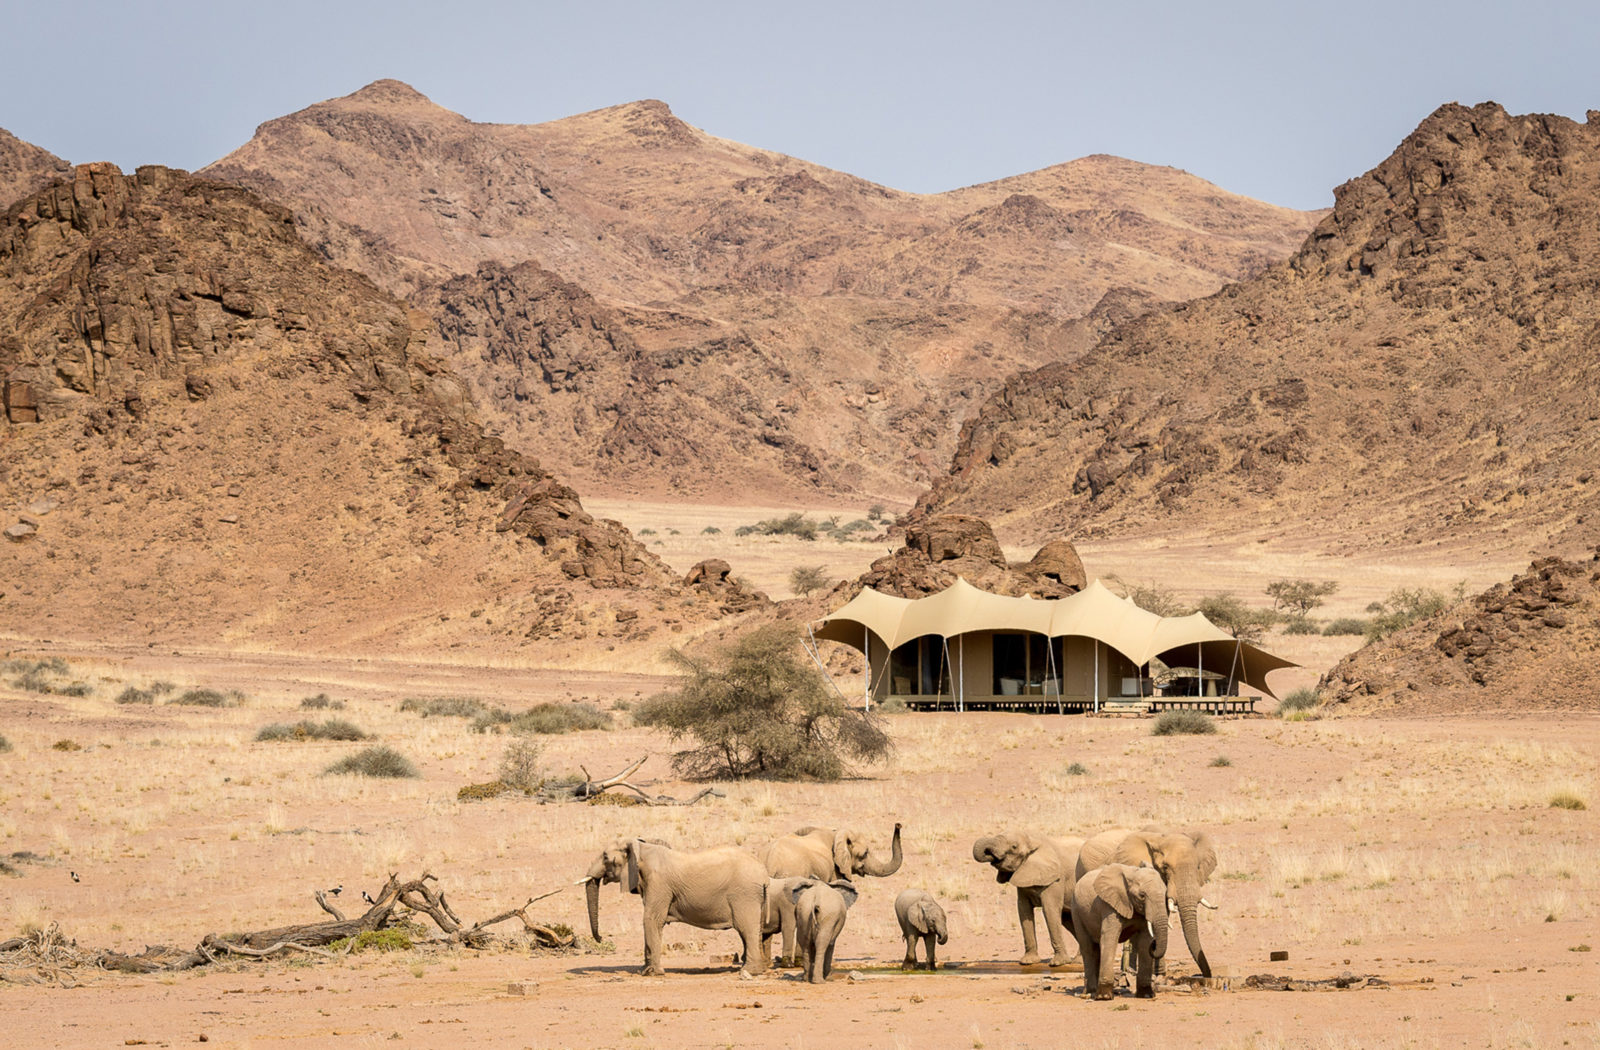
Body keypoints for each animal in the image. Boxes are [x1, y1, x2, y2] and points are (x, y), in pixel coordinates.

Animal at [582, 838, 768, 973]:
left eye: (605, 857)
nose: (601, 939)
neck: (641, 848)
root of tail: (762, 870)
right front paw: (644, 970)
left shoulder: (658, 884)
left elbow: (651, 919)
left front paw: (652, 973)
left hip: (745, 894)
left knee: (746, 929)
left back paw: (749, 971)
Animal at [758, 825, 902, 966]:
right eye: (865, 853)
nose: (898, 825)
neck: (837, 833)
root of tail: (770, 860)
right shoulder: (835, 869)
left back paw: (768, 963)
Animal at [960, 832, 1088, 966]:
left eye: (1014, 847)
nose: (989, 853)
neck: (1032, 840)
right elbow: (1023, 910)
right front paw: (1028, 962)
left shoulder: (1056, 878)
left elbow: (1049, 910)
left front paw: (1058, 963)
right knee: (1067, 918)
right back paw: (1079, 961)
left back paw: (1079, 962)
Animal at [1068, 864, 1171, 998]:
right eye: (1142, 896)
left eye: (1165, 895)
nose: (1154, 944)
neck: (1132, 874)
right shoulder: (1109, 905)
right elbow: (1109, 938)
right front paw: (1104, 997)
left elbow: (1144, 942)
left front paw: (1146, 995)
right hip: (1076, 911)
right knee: (1088, 948)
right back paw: (1091, 992)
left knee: (1096, 949)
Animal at [1081, 825, 1216, 979]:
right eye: (1165, 867)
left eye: (1198, 867)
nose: (1205, 976)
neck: (1161, 838)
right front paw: (1157, 974)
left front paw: (1159, 974)